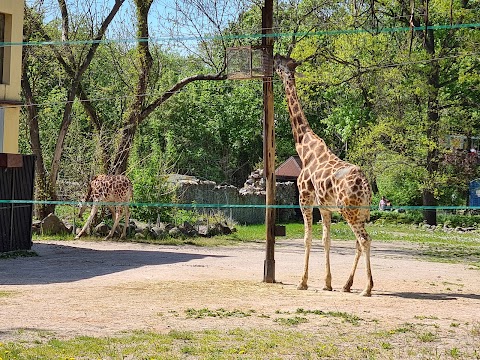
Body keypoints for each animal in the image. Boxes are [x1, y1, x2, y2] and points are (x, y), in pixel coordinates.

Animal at [274, 53, 376, 296]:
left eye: (281, 63)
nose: (273, 60)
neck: (304, 147)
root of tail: (366, 186)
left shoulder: (305, 198)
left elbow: (308, 239)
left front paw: (303, 282)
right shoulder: (325, 207)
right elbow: (326, 240)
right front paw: (328, 283)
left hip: (349, 211)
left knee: (364, 240)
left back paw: (367, 288)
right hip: (359, 213)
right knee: (359, 242)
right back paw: (347, 285)